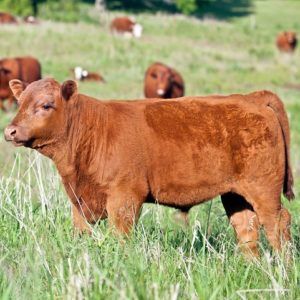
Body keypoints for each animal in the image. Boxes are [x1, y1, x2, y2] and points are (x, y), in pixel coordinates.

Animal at [4, 78, 294, 256]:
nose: (10, 131)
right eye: (20, 103)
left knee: (278, 223)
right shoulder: (79, 201)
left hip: (263, 189)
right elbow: (81, 233)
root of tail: (252, 98)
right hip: (235, 194)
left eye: (46, 105)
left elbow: (121, 235)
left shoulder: (124, 198)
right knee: (247, 228)